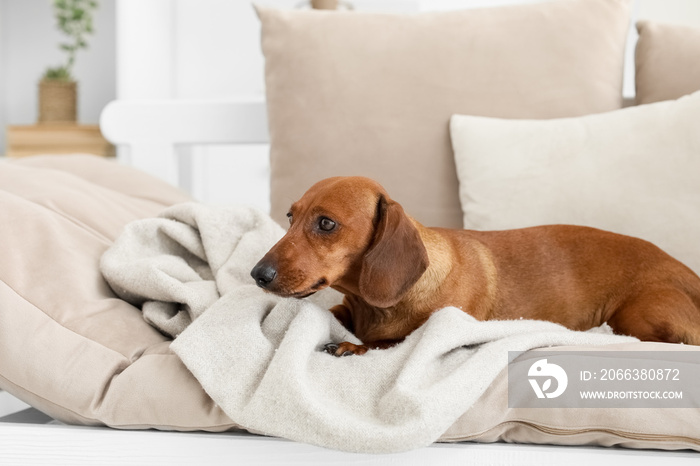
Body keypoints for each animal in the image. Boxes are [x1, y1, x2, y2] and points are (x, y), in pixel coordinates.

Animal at [252, 177, 700, 354]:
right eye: (290, 216)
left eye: (326, 223)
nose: (258, 274)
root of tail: (688, 272)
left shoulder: (445, 330)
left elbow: (391, 342)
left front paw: (351, 346)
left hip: (637, 314)